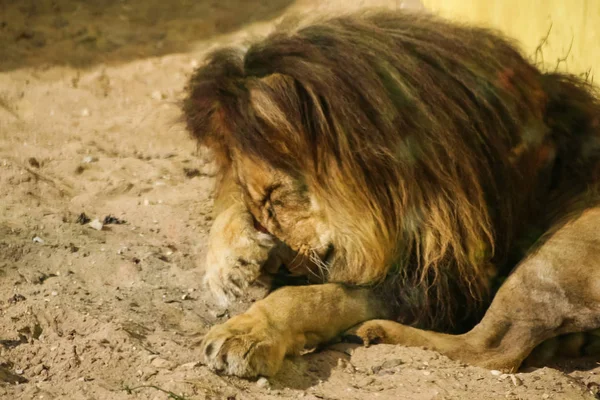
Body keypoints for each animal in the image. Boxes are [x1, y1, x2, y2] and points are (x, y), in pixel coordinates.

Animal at [182, 9, 600, 378]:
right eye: (261, 208)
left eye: (275, 197)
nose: (277, 268)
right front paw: (232, 261)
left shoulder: (440, 282)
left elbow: (312, 296)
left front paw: (246, 333)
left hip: (555, 252)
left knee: (494, 348)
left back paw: (376, 331)